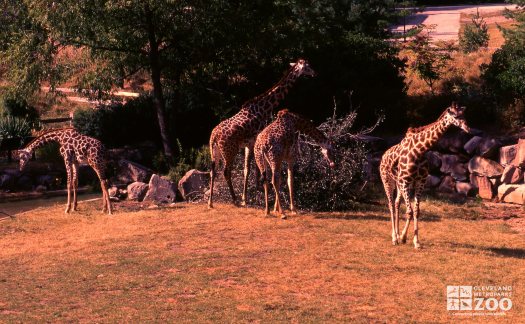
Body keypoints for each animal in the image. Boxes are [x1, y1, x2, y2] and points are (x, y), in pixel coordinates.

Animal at [208, 58, 316, 208]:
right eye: (307, 66)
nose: (314, 73)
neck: (263, 108)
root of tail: (214, 136)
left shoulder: (248, 144)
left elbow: (247, 169)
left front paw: (248, 196)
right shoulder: (253, 141)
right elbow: (252, 170)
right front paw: (250, 196)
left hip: (215, 151)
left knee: (212, 171)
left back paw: (210, 202)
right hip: (230, 151)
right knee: (225, 172)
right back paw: (234, 200)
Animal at [376, 102, 470, 249]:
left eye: (464, 114)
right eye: (455, 116)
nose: (467, 128)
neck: (419, 151)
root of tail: (383, 156)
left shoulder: (419, 182)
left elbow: (416, 211)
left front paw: (415, 241)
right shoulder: (405, 182)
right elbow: (409, 211)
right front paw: (403, 237)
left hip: (399, 183)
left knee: (396, 203)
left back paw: (397, 234)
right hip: (387, 180)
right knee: (390, 204)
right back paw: (394, 238)